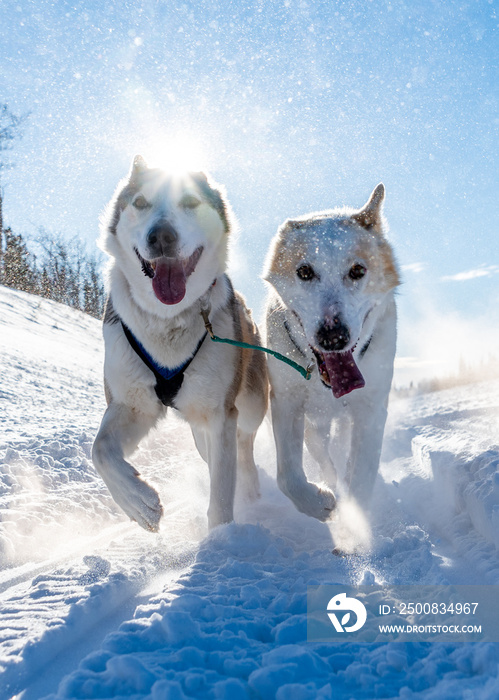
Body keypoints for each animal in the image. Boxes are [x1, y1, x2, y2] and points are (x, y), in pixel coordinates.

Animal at [91, 157, 268, 532]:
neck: (167, 319)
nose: (161, 236)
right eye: (140, 202)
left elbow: (222, 492)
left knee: (244, 446)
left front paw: (222, 539)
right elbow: (100, 450)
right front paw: (138, 502)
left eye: (189, 202)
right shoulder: (132, 404)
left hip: (249, 404)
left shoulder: (221, 412)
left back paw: (251, 490)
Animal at [264, 183, 400, 524]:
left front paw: (355, 523)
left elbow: (361, 477)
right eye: (304, 271)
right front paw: (316, 502)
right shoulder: (286, 401)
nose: (333, 335)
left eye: (357, 270)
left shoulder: (371, 408)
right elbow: (288, 476)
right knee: (322, 453)